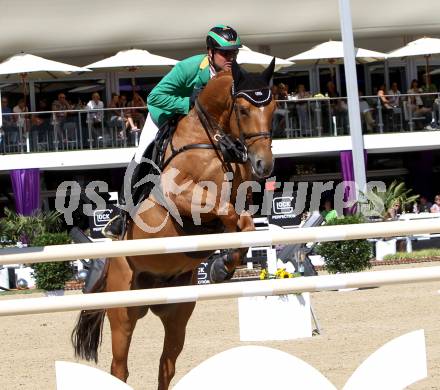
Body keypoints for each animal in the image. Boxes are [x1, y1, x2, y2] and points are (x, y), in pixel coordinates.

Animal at [73, 58, 276, 390]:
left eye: (274, 108)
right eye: (244, 110)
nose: (264, 165)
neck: (212, 141)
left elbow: (243, 224)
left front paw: (222, 267)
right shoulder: (178, 197)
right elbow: (224, 212)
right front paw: (220, 263)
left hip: (178, 313)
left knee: (166, 366)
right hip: (123, 315)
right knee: (120, 368)